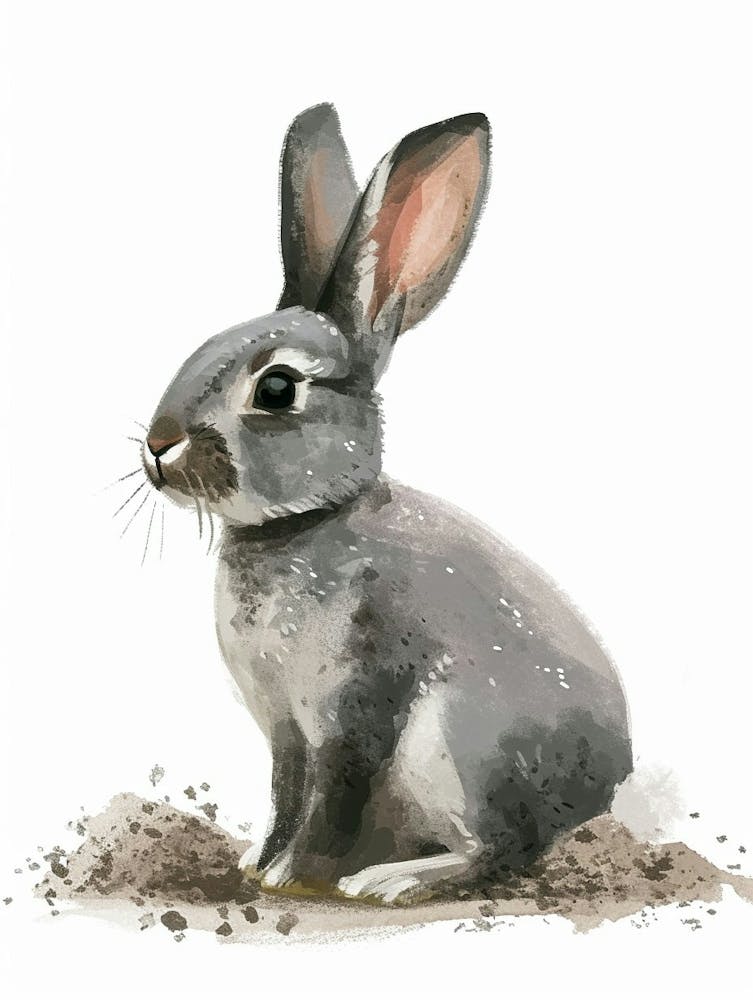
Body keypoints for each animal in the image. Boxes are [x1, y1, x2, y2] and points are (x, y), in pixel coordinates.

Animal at [141, 103, 632, 904]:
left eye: (276, 388)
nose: (157, 446)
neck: (306, 522)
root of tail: (605, 787)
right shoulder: (285, 734)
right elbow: (286, 796)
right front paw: (256, 865)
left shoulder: (351, 714)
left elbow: (328, 800)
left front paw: (292, 879)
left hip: (459, 748)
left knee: (500, 850)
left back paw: (390, 881)